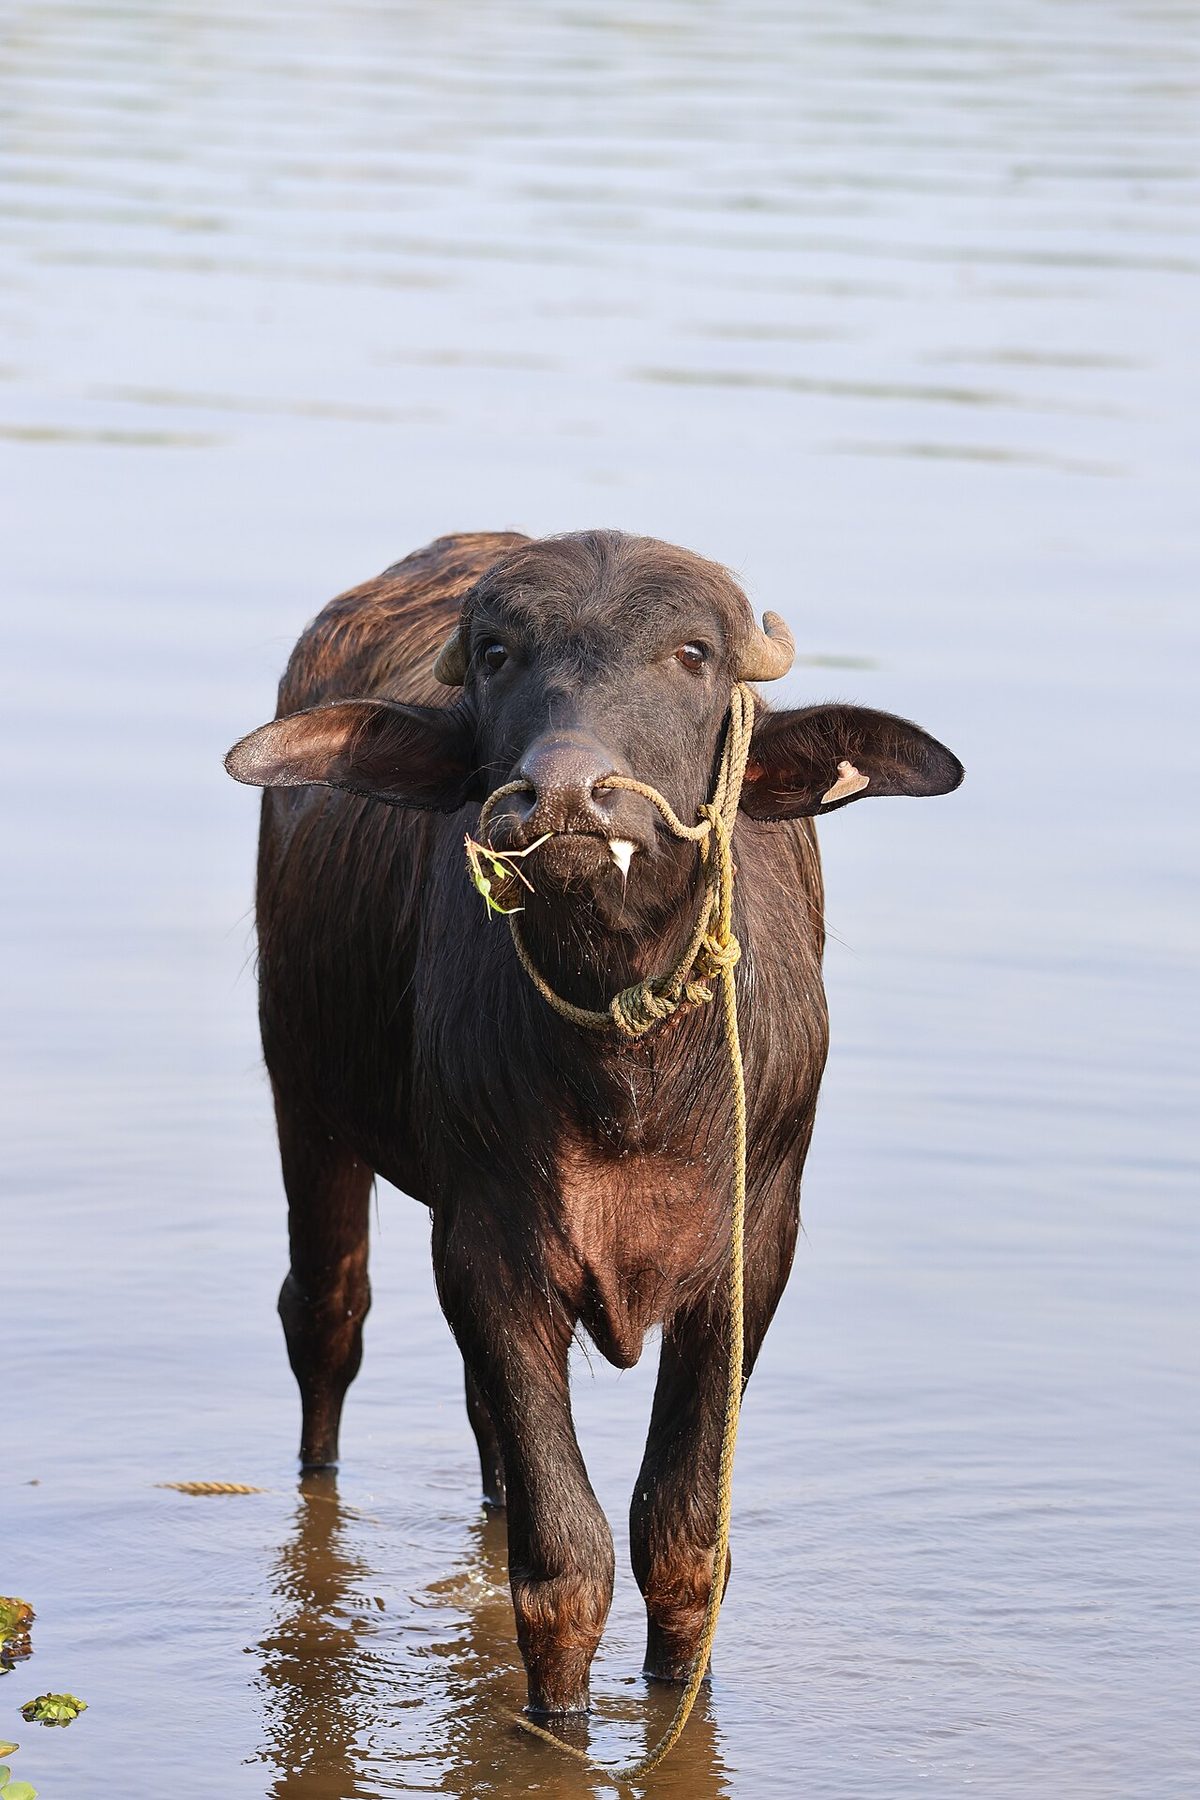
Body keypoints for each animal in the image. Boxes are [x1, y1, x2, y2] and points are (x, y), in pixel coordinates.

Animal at [225, 529, 962, 1716]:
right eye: (496, 654)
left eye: (693, 653)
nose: (567, 796)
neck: (629, 1080)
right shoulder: (489, 1251)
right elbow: (564, 1557)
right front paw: (560, 1722)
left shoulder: (753, 1251)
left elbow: (684, 1539)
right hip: (305, 1097)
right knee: (326, 1320)